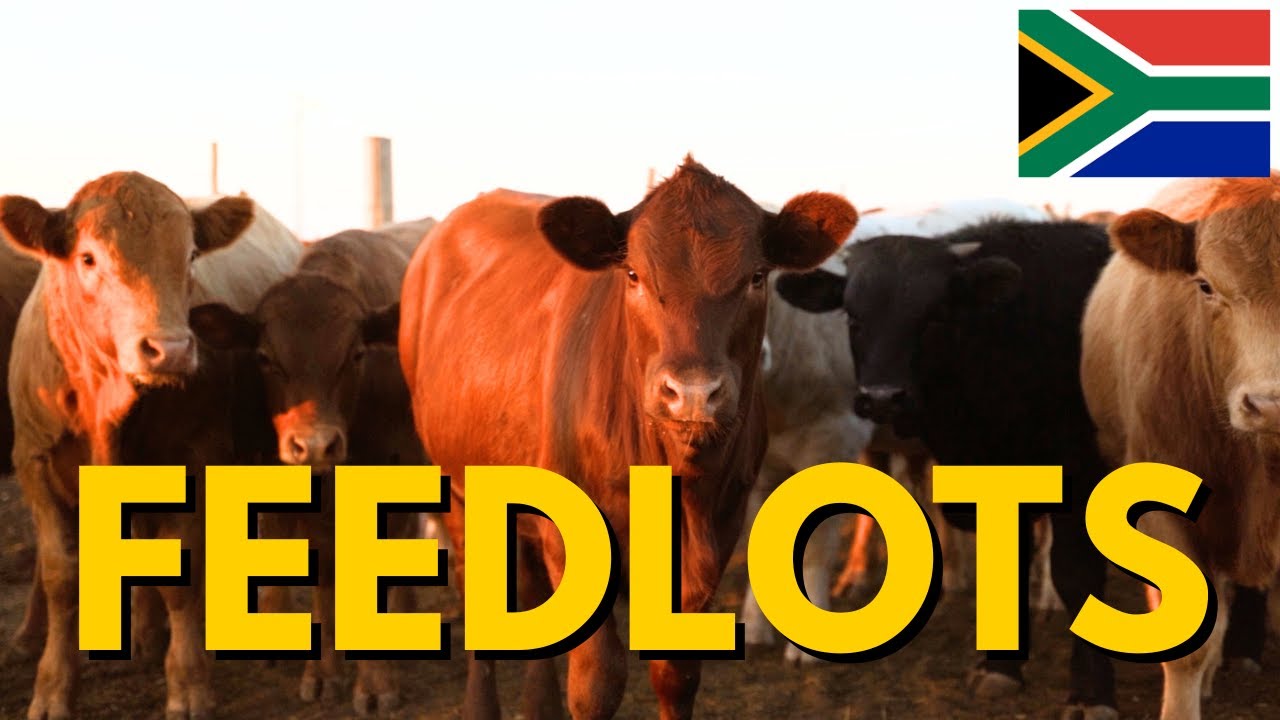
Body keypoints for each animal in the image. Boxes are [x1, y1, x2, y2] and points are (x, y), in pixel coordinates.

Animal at [1, 172, 301, 720]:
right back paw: (142, 635)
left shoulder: (197, 459)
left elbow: (181, 576)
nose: (171, 350)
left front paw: (189, 683)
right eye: (88, 258)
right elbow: (61, 577)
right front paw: (52, 687)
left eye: (190, 255)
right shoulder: (34, 464)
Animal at [189, 222, 434, 715]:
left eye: (356, 354)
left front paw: (376, 682)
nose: (316, 444)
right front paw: (322, 672)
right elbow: (323, 578)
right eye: (265, 358)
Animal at [399, 157, 855, 719]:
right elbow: (597, 683)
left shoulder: (717, 534)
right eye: (633, 274)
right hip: (458, 490)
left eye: (756, 276)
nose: (693, 393)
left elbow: (677, 675)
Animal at [776, 219, 1117, 718]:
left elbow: (1077, 575)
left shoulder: (1080, 469)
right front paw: (1001, 668)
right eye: (854, 319)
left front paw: (1092, 693)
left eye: (933, 316)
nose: (882, 398)